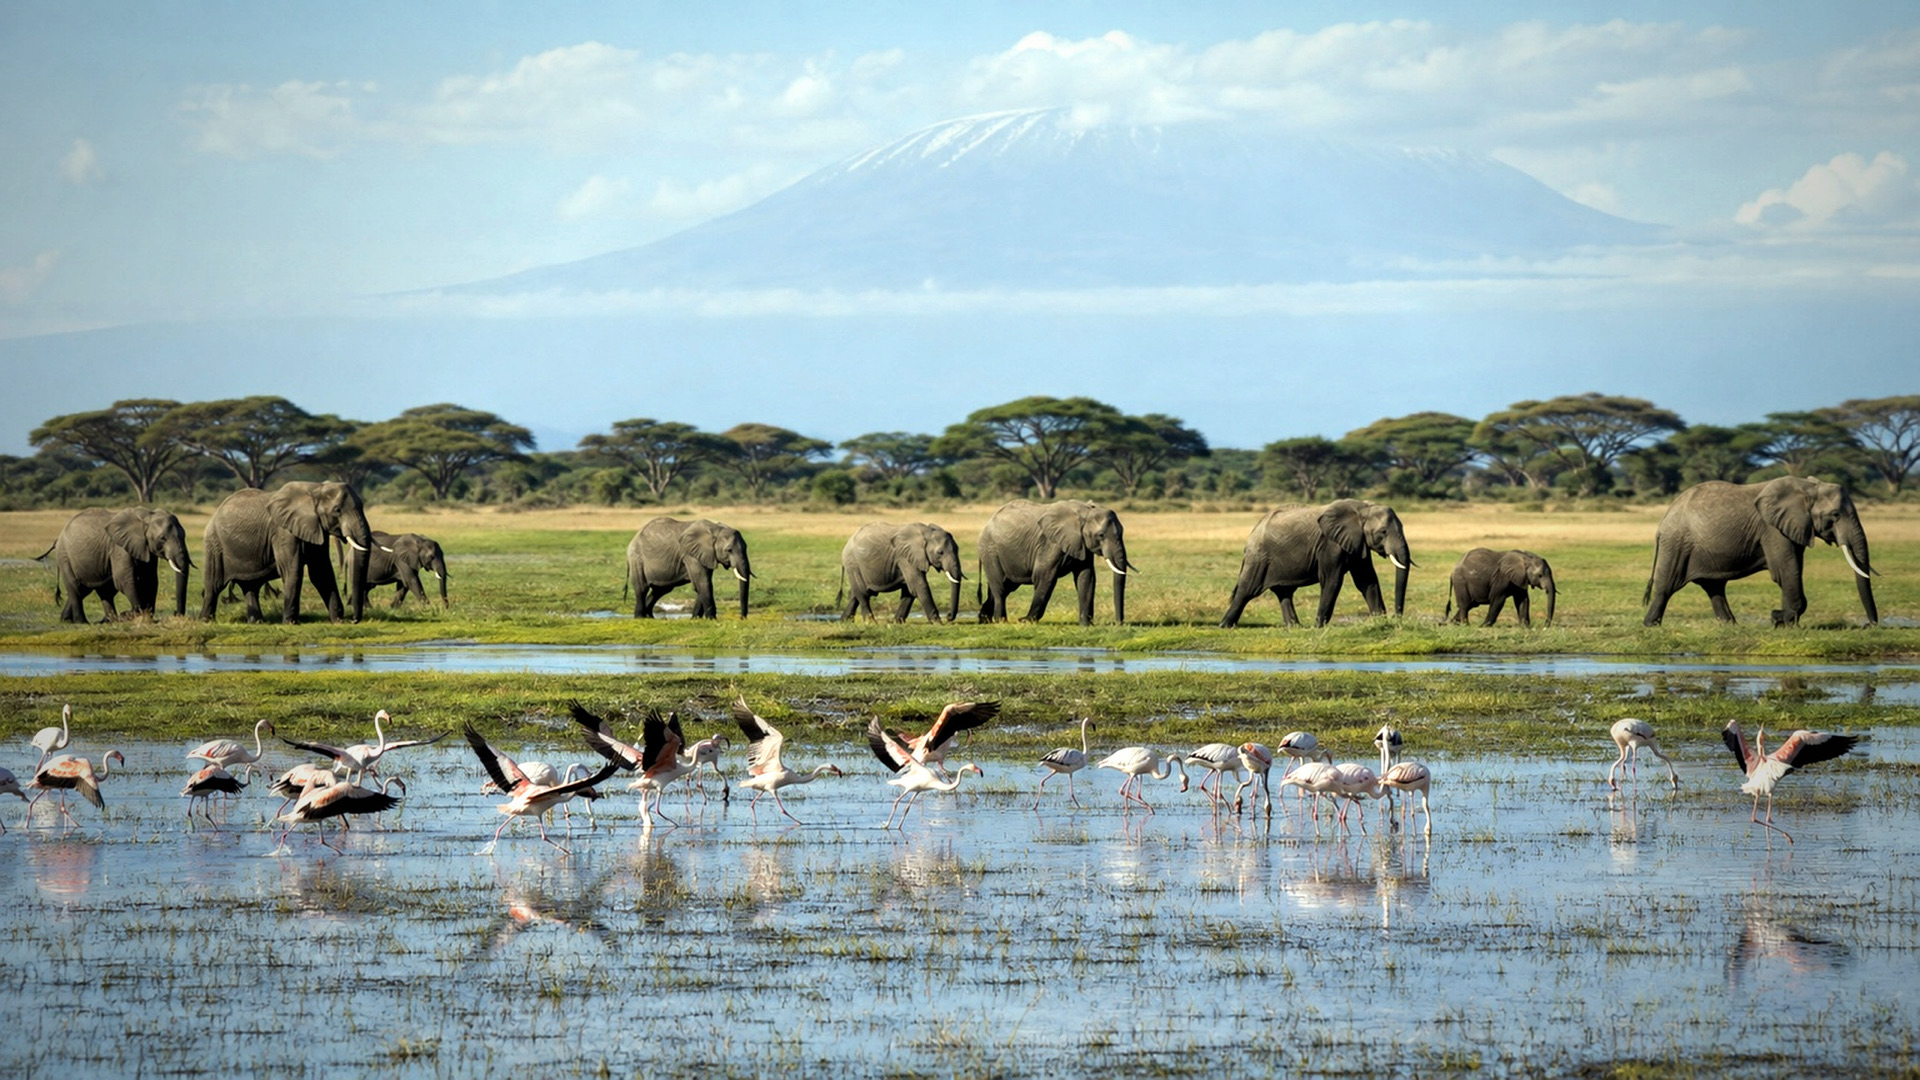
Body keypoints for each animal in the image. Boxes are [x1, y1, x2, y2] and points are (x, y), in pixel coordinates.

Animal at [41, 507, 192, 623]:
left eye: (184, 535)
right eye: (162, 538)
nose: (176, 613)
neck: (147, 516)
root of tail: (58, 538)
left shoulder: (146, 549)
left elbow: (150, 580)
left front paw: (143, 616)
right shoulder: (119, 548)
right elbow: (124, 580)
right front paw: (132, 614)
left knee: (93, 590)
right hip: (65, 557)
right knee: (75, 588)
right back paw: (82, 622)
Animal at [201, 481, 374, 624]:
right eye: (337, 510)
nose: (353, 620)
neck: (315, 488)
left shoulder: (316, 528)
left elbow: (321, 572)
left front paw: (338, 621)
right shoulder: (283, 531)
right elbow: (293, 570)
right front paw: (291, 623)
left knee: (251, 586)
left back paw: (257, 622)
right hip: (214, 545)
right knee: (214, 585)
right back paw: (206, 621)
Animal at [976, 500, 1133, 625]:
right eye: (1101, 535)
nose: (1118, 623)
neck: (1085, 511)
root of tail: (988, 523)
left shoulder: (1081, 544)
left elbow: (1086, 577)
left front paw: (1086, 625)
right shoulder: (1051, 543)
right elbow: (1045, 576)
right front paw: (1026, 621)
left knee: (1006, 586)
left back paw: (984, 620)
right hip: (990, 551)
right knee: (1000, 588)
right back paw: (1001, 621)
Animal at [1219, 499, 1413, 628]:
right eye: (1383, 532)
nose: (1397, 619)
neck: (1363, 508)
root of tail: (1252, 532)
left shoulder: (1357, 543)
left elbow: (1367, 581)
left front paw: (1381, 622)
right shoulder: (1330, 545)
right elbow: (1332, 581)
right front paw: (1319, 627)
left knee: (1284, 592)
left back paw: (1294, 627)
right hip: (1258, 557)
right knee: (1247, 590)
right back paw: (1225, 625)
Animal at [1643, 477, 1878, 627]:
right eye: (1836, 514)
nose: (1869, 625)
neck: (1807, 487)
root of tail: (1663, 521)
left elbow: (1793, 568)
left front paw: (1783, 621)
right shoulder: (1772, 529)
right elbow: (1785, 570)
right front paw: (1780, 620)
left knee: (1714, 587)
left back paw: (1731, 626)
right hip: (1676, 544)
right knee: (1667, 586)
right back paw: (1651, 625)